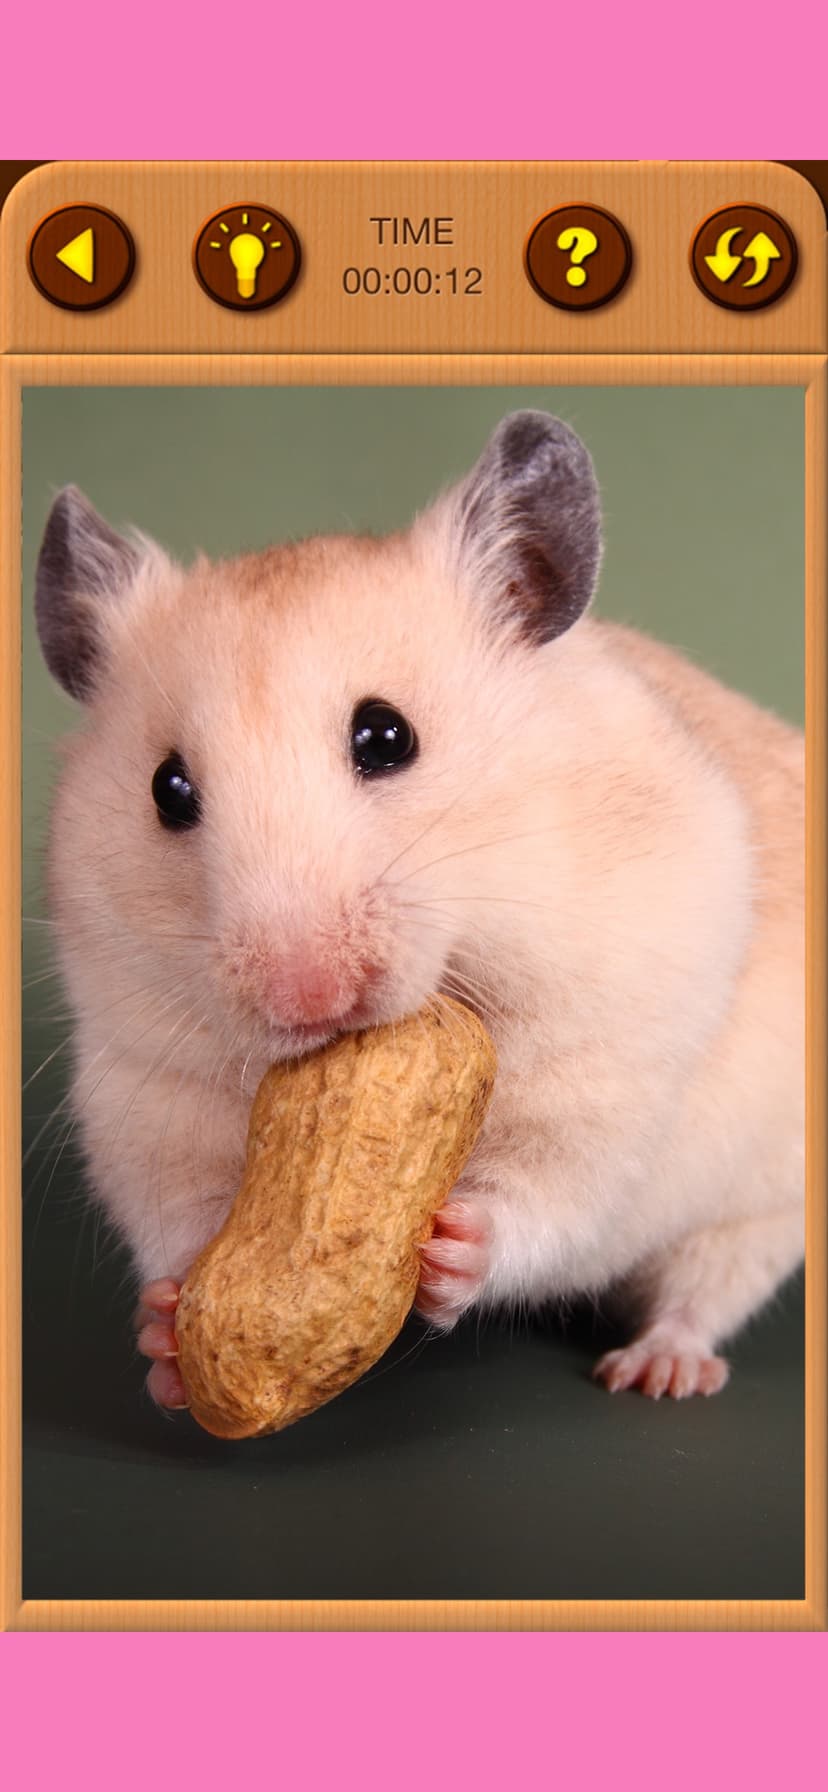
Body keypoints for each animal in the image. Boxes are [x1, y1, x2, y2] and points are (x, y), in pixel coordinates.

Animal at [34, 410, 804, 1407]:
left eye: (386, 735)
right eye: (168, 790)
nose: (307, 999)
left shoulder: (613, 1076)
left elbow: (548, 1200)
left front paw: (450, 1247)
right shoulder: (146, 1098)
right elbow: (185, 1222)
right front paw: (168, 1337)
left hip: (766, 1197)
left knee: (708, 1284)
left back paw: (657, 1372)